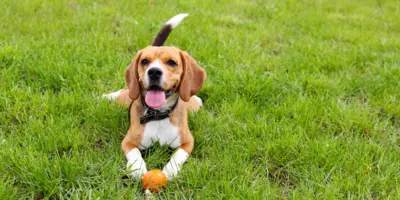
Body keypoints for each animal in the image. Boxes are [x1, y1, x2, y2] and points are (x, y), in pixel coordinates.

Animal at [103, 13, 206, 180]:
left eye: (172, 62)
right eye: (144, 61)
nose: (154, 72)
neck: (158, 115)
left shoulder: (188, 142)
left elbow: (178, 156)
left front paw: (170, 171)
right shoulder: (128, 141)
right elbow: (135, 153)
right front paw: (137, 168)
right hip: (126, 96)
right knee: (122, 92)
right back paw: (105, 96)